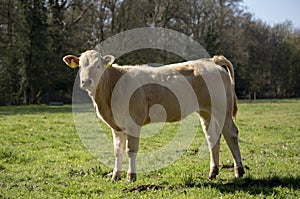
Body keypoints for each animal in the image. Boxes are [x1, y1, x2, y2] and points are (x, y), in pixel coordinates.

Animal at [62, 49, 244, 182]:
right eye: (80, 66)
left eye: (98, 66)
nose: (86, 81)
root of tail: (211, 61)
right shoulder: (116, 126)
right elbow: (117, 150)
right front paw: (115, 176)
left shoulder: (133, 122)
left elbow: (130, 150)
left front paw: (131, 177)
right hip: (206, 111)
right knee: (212, 137)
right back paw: (213, 172)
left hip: (222, 109)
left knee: (231, 134)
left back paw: (239, 171)